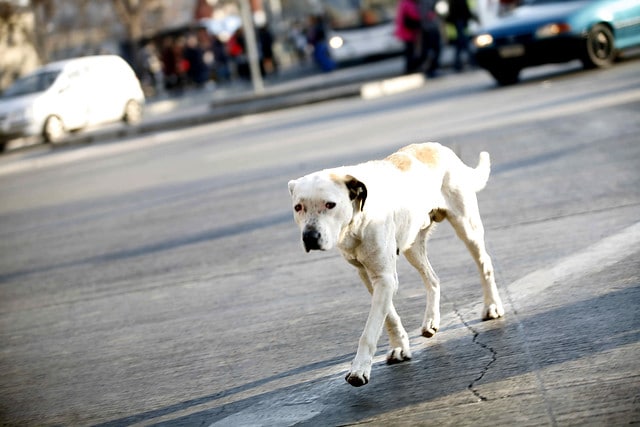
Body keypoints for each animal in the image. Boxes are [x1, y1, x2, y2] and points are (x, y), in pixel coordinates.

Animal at [288, 144, 504, 388]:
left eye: (330, 204)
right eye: (298, 207)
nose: (310, 237)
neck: (357, 220)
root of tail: (440, 147)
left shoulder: (384, 277)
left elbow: (370, 329)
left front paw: (359, 369)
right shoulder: (370, 276)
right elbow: (389, 317)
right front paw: (399, 346)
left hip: (467, 228)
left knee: (484, 264)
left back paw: (492, 306)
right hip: (413, 247)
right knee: (433, 279)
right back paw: (431, 320)